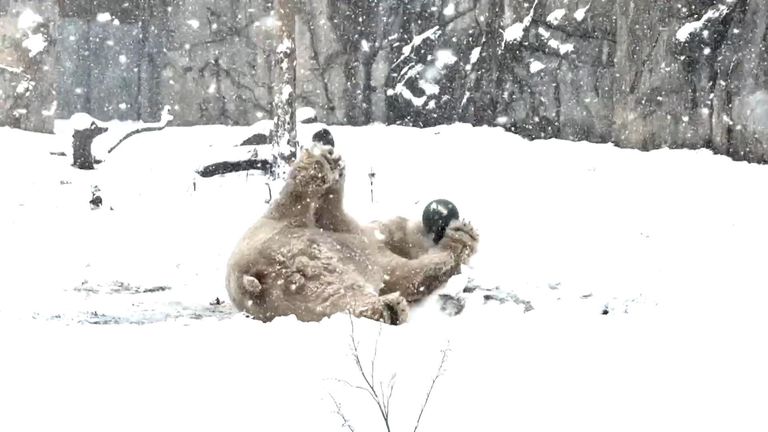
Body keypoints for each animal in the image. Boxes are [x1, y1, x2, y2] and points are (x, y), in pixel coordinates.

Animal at [222, 135, 476, 324]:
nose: (436, 221)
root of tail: (252, 277)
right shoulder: (365, 243)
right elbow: (412, 272)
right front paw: (462, 237)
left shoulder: (353, 238)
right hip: (275, 234)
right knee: (291, 206)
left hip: (287, 297)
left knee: (331, 296)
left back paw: (388, 309)